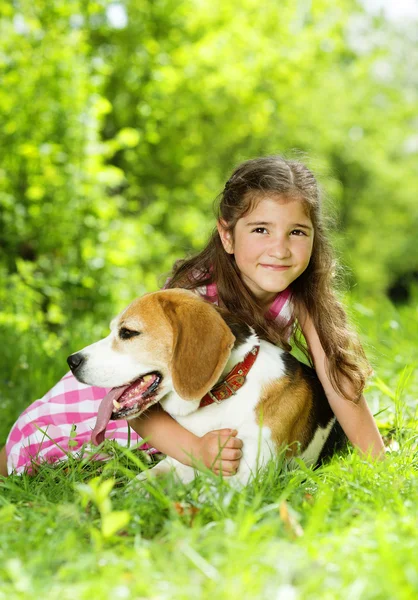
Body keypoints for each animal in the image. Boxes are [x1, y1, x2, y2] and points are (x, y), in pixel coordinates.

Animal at [67, 288, 344, 486]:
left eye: (128, 332)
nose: (72, 361)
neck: (225, 394)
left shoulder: (247, 479)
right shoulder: (185, 458)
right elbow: (143, 480)